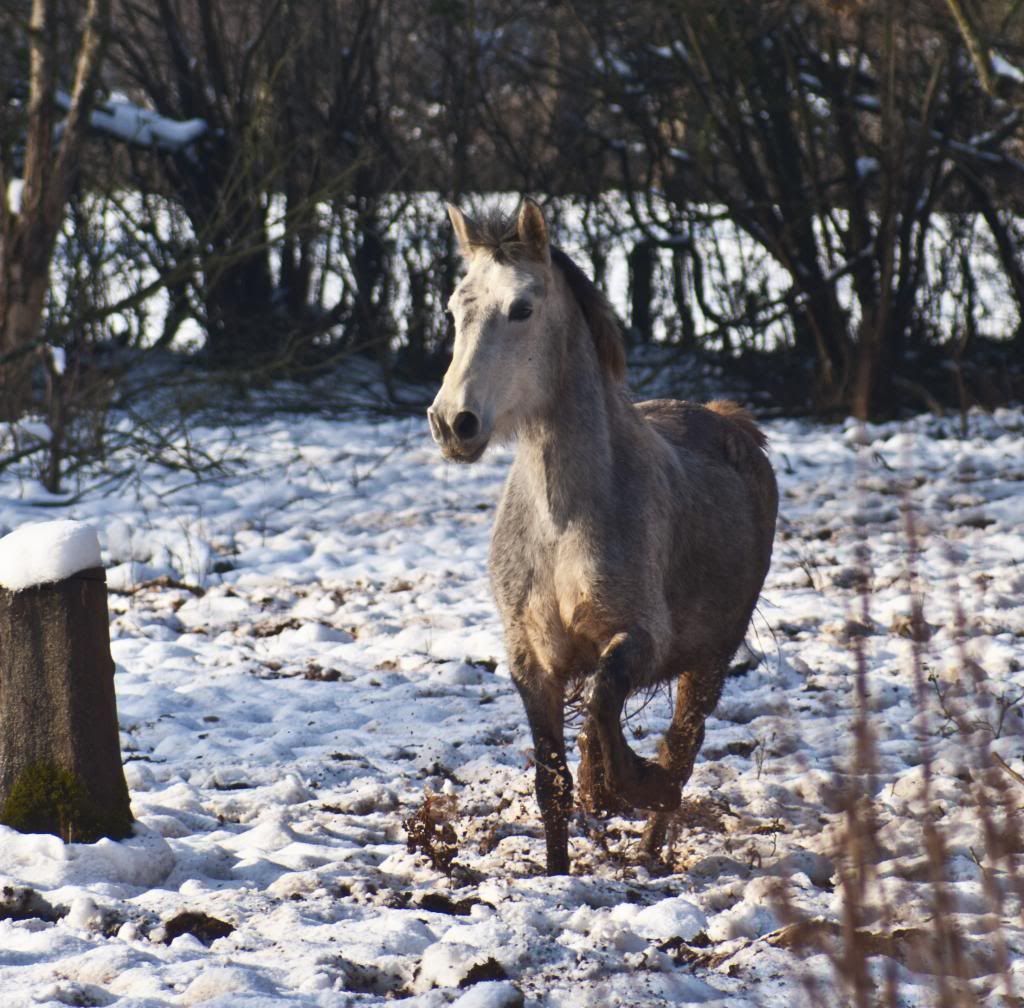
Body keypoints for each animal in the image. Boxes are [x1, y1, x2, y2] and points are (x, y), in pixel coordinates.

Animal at [425, 196, 774, 872]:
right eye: (454, 309)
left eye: (523, 308)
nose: (453, 423)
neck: (562, 525)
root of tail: (728, 421)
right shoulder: (531, 661)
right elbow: (552, 782)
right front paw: (559, 867)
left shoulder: (643, 639)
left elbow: (604, 700)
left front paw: (618, 784)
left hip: (710, 661)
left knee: (683, 747)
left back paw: (650, 848)